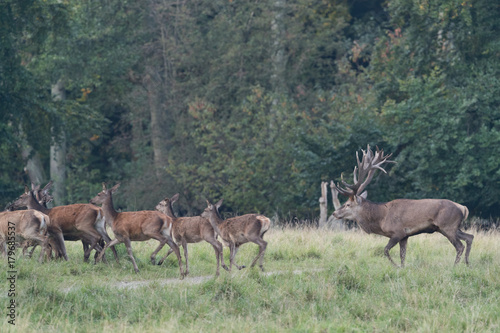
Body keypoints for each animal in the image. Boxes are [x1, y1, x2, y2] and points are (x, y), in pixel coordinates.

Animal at [332, 145, 472, 268]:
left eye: (347, 204)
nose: (334, 213)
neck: (381, 219)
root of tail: (463, 208)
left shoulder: (397, 232)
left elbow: (386, 250)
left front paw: (396, 266)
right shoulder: (405, 236)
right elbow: (402, 255)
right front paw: (403, 267)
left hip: (447, 226)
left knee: (460, 246)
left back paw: (455, 266)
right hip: (450, 228)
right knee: (470, 237)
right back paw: (467, 263)